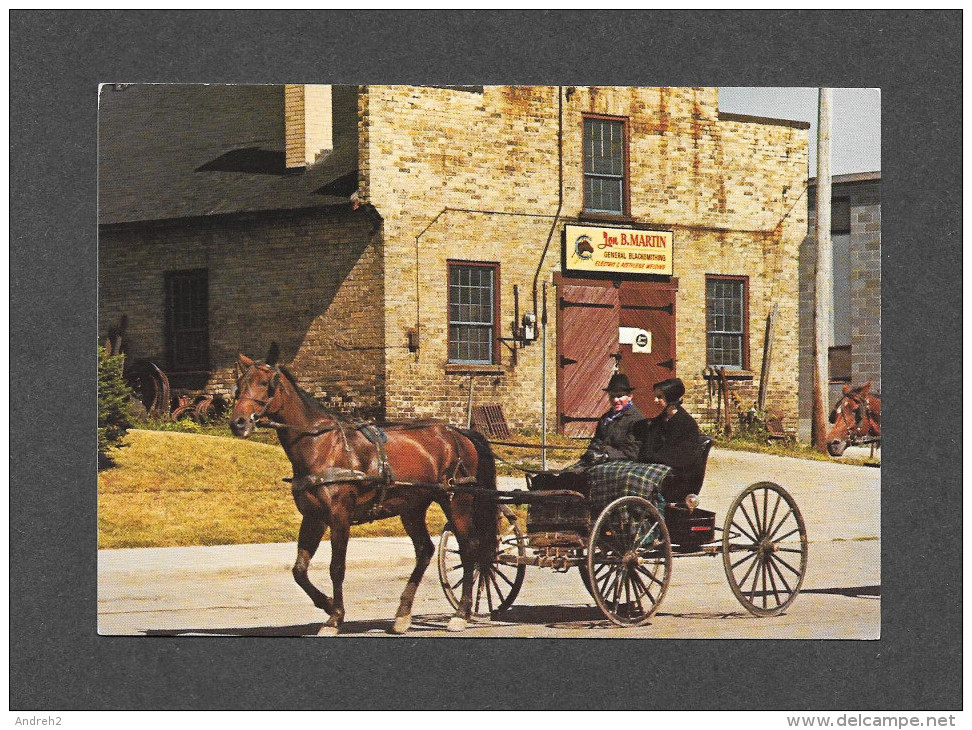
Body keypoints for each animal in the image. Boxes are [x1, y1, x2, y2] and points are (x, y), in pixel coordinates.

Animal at [229, 352, 498, 632]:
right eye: (240, 384)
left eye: (265, 384)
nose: (238, 422)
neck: (322, 445)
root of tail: (459, 432)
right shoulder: (313, 517)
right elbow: (299, 570)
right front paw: (327, 604)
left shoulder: (339, 516)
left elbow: (336, 567)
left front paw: (334, 617)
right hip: (412, 507)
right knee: (425, 550)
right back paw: (403, 613)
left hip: (457, 499)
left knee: (469, 548)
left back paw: (461, 613)